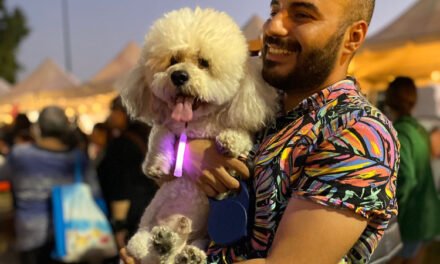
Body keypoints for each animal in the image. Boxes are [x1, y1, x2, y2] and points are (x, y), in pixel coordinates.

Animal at [119, 7, 278, 262]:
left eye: (204, 63)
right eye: (173, 60)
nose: (178, 76)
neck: (195, 123)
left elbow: (241, 133)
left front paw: (230, 141)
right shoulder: (167, 124)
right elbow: (160, 134)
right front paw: (156, 164)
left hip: (202, 237)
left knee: (181, 251)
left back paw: (186, 252)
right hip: (143, 231)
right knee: (147, 250)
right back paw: (166, 244)